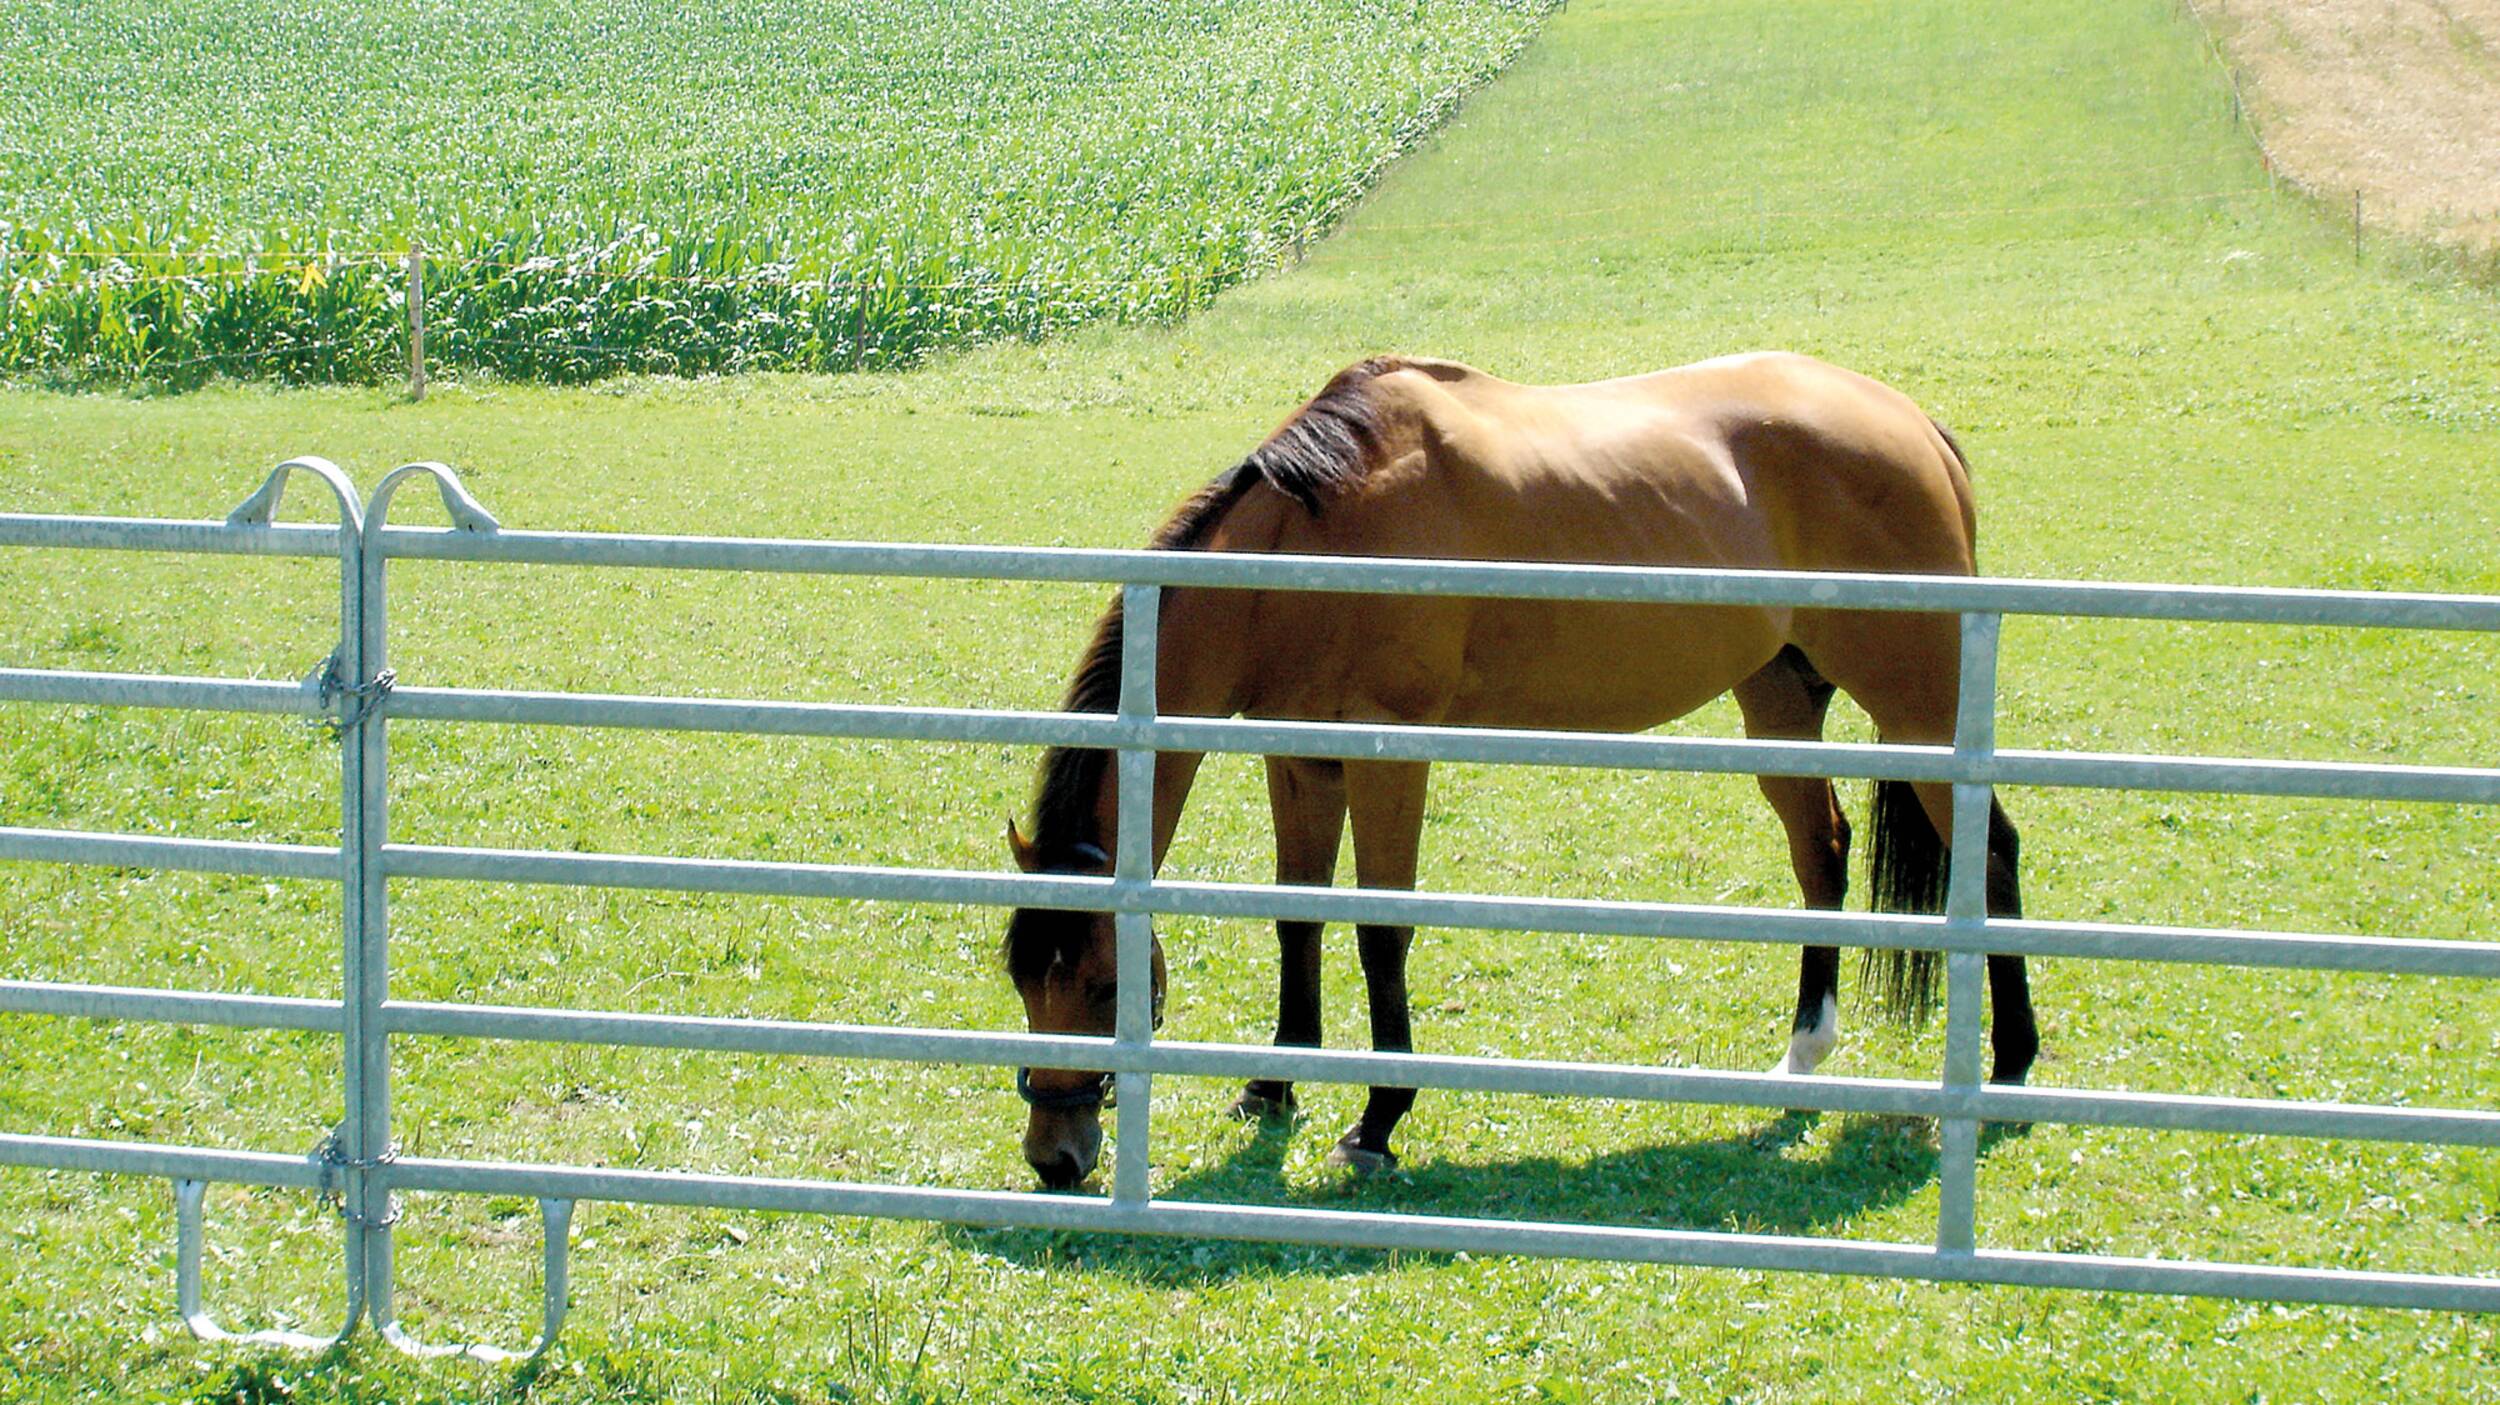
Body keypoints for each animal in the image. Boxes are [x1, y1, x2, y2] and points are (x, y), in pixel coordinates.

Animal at [995, 350, 2030, 1180]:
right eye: (1020, 979)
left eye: (1103, 985)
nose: (1055, 1155)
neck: (1314, 538)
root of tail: (1915, 428)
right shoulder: (1300, 758)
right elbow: (1299, 919)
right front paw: (1274, 1083)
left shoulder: (1387, 753)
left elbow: (1380, 932)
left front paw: (1377, 1120)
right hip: (1779, 699)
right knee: (1821, 853)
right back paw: (1803, 1058)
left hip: (1919, 710)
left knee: (1991, 853)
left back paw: (2012, 1068)